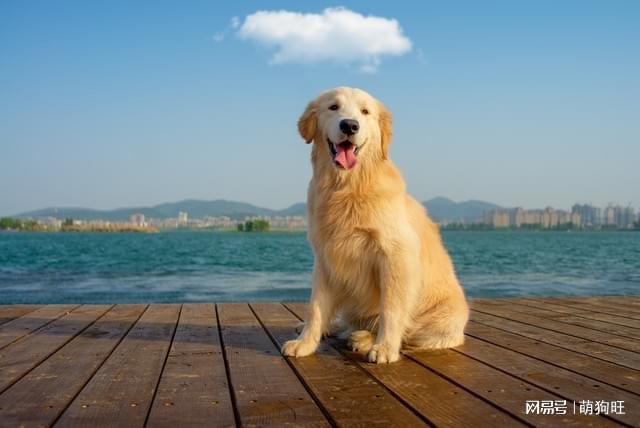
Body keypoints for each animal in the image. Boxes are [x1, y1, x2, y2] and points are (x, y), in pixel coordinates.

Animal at [282, 88, 468, 364]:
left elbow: (391, 308)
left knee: (409, 332)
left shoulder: (395, 256)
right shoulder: (326, 257)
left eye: (365, 111)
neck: (348, 185)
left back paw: (363, 338)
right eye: (333, 107)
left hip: (444, 319)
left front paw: (385, 347)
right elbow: (316, 306)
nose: (350, 125)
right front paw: (305, 342)